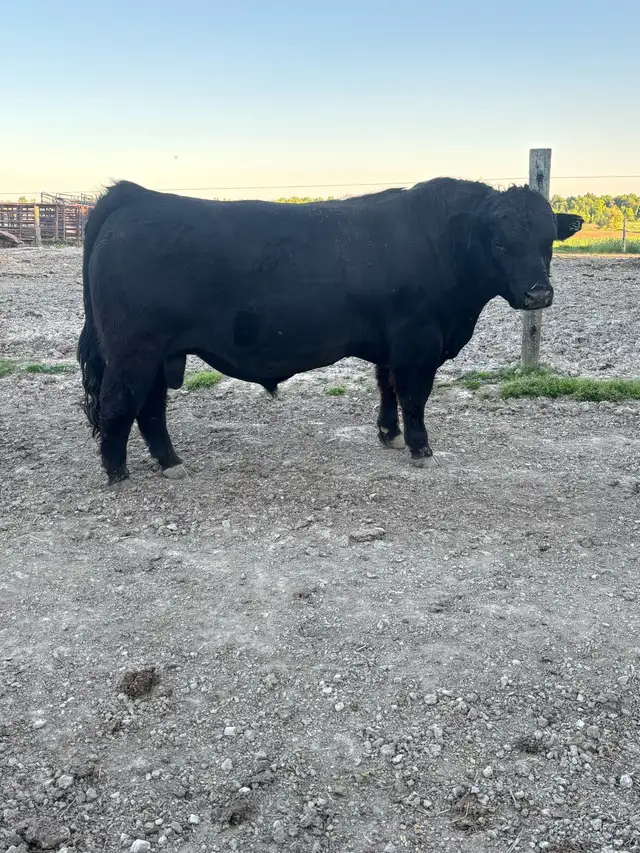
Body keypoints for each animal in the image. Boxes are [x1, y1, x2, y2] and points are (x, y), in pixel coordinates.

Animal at [77, 178, 583, 485]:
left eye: (547, 240)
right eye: (499, 242)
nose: (539, 294)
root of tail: (136, 195)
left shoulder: (391, 345)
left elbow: (387, 387)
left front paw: (388, 433)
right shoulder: (418, 341)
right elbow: (414, 395)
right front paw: (419, 446)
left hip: (160, 353)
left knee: (150, 407)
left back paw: (170, 462)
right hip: (133, 349)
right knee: (120, 401)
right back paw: (117, 472)